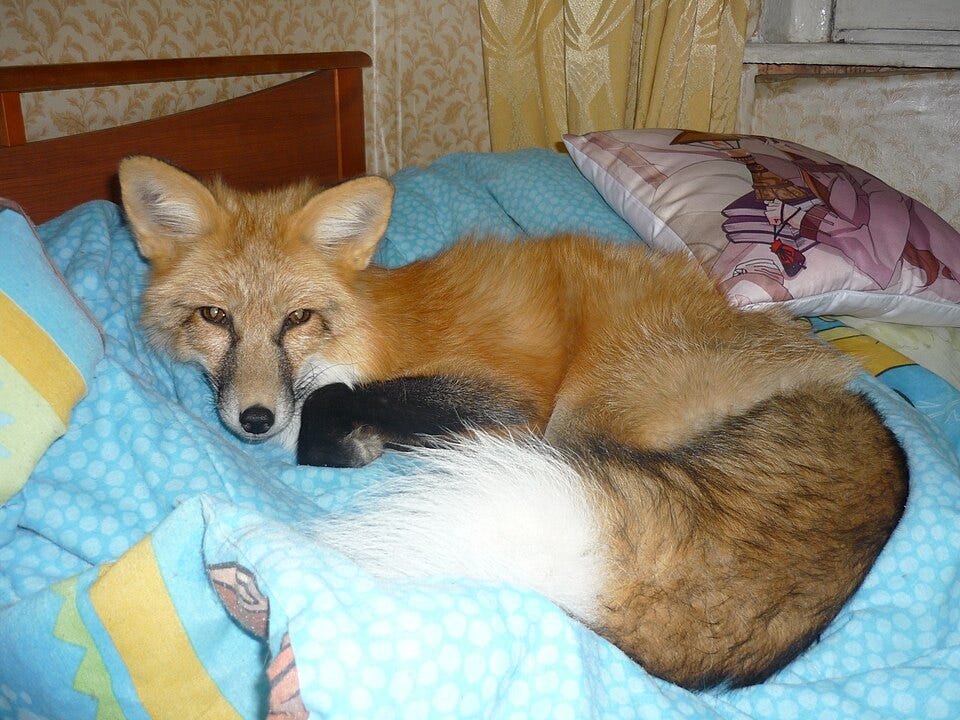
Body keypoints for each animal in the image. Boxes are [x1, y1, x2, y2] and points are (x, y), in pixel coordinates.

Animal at [119, 155, 908, 691]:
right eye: (214, 317)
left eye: (298, 319)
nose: (254, 419)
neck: (371, 330)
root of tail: (833, 380)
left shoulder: (507, 403)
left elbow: (330, 403)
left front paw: (340, 443)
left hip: (582, 417)